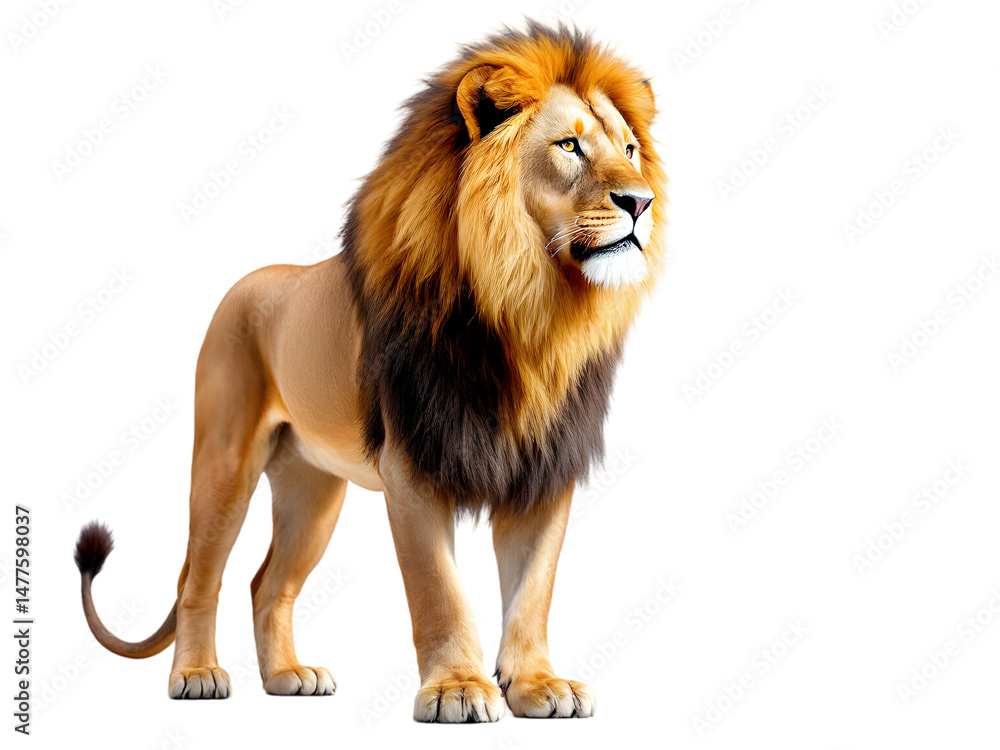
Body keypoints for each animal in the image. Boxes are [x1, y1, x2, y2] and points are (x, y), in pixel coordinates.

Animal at [74, 22, 665, 722]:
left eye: (630, 149)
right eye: (569, 145)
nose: (641, 201)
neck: (527, 313)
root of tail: (246, 283)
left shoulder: (543, 468)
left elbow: (533, 591)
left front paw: (538, 685)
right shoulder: (412, 465)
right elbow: (439, 591)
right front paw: (457, 689)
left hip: (313, 490)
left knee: (266, 584)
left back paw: (288, 676)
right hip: (224, 461)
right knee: (200, 576)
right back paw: (195, 675)